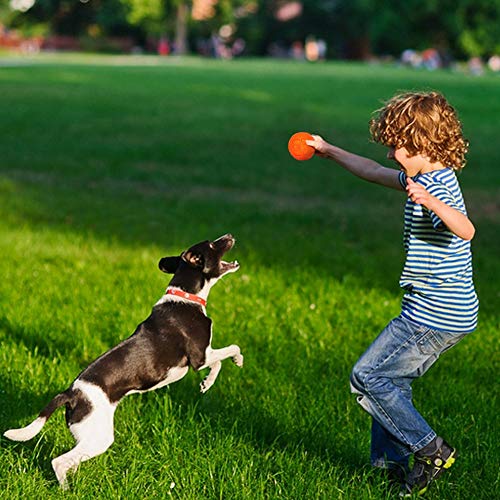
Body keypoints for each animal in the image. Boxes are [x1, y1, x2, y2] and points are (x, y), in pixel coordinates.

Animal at [3, 234, 242, 488]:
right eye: (212, 244)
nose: (229, 236)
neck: (186, 296)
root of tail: (71, 393)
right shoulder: (199, 356)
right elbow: (230, 351)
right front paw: (236, 362)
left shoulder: (204, 356)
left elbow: (218, 362)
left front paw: (207, 383)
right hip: (100, 437)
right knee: (59, 462)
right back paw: (67, 489)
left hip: (88, 436)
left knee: (72, 460)